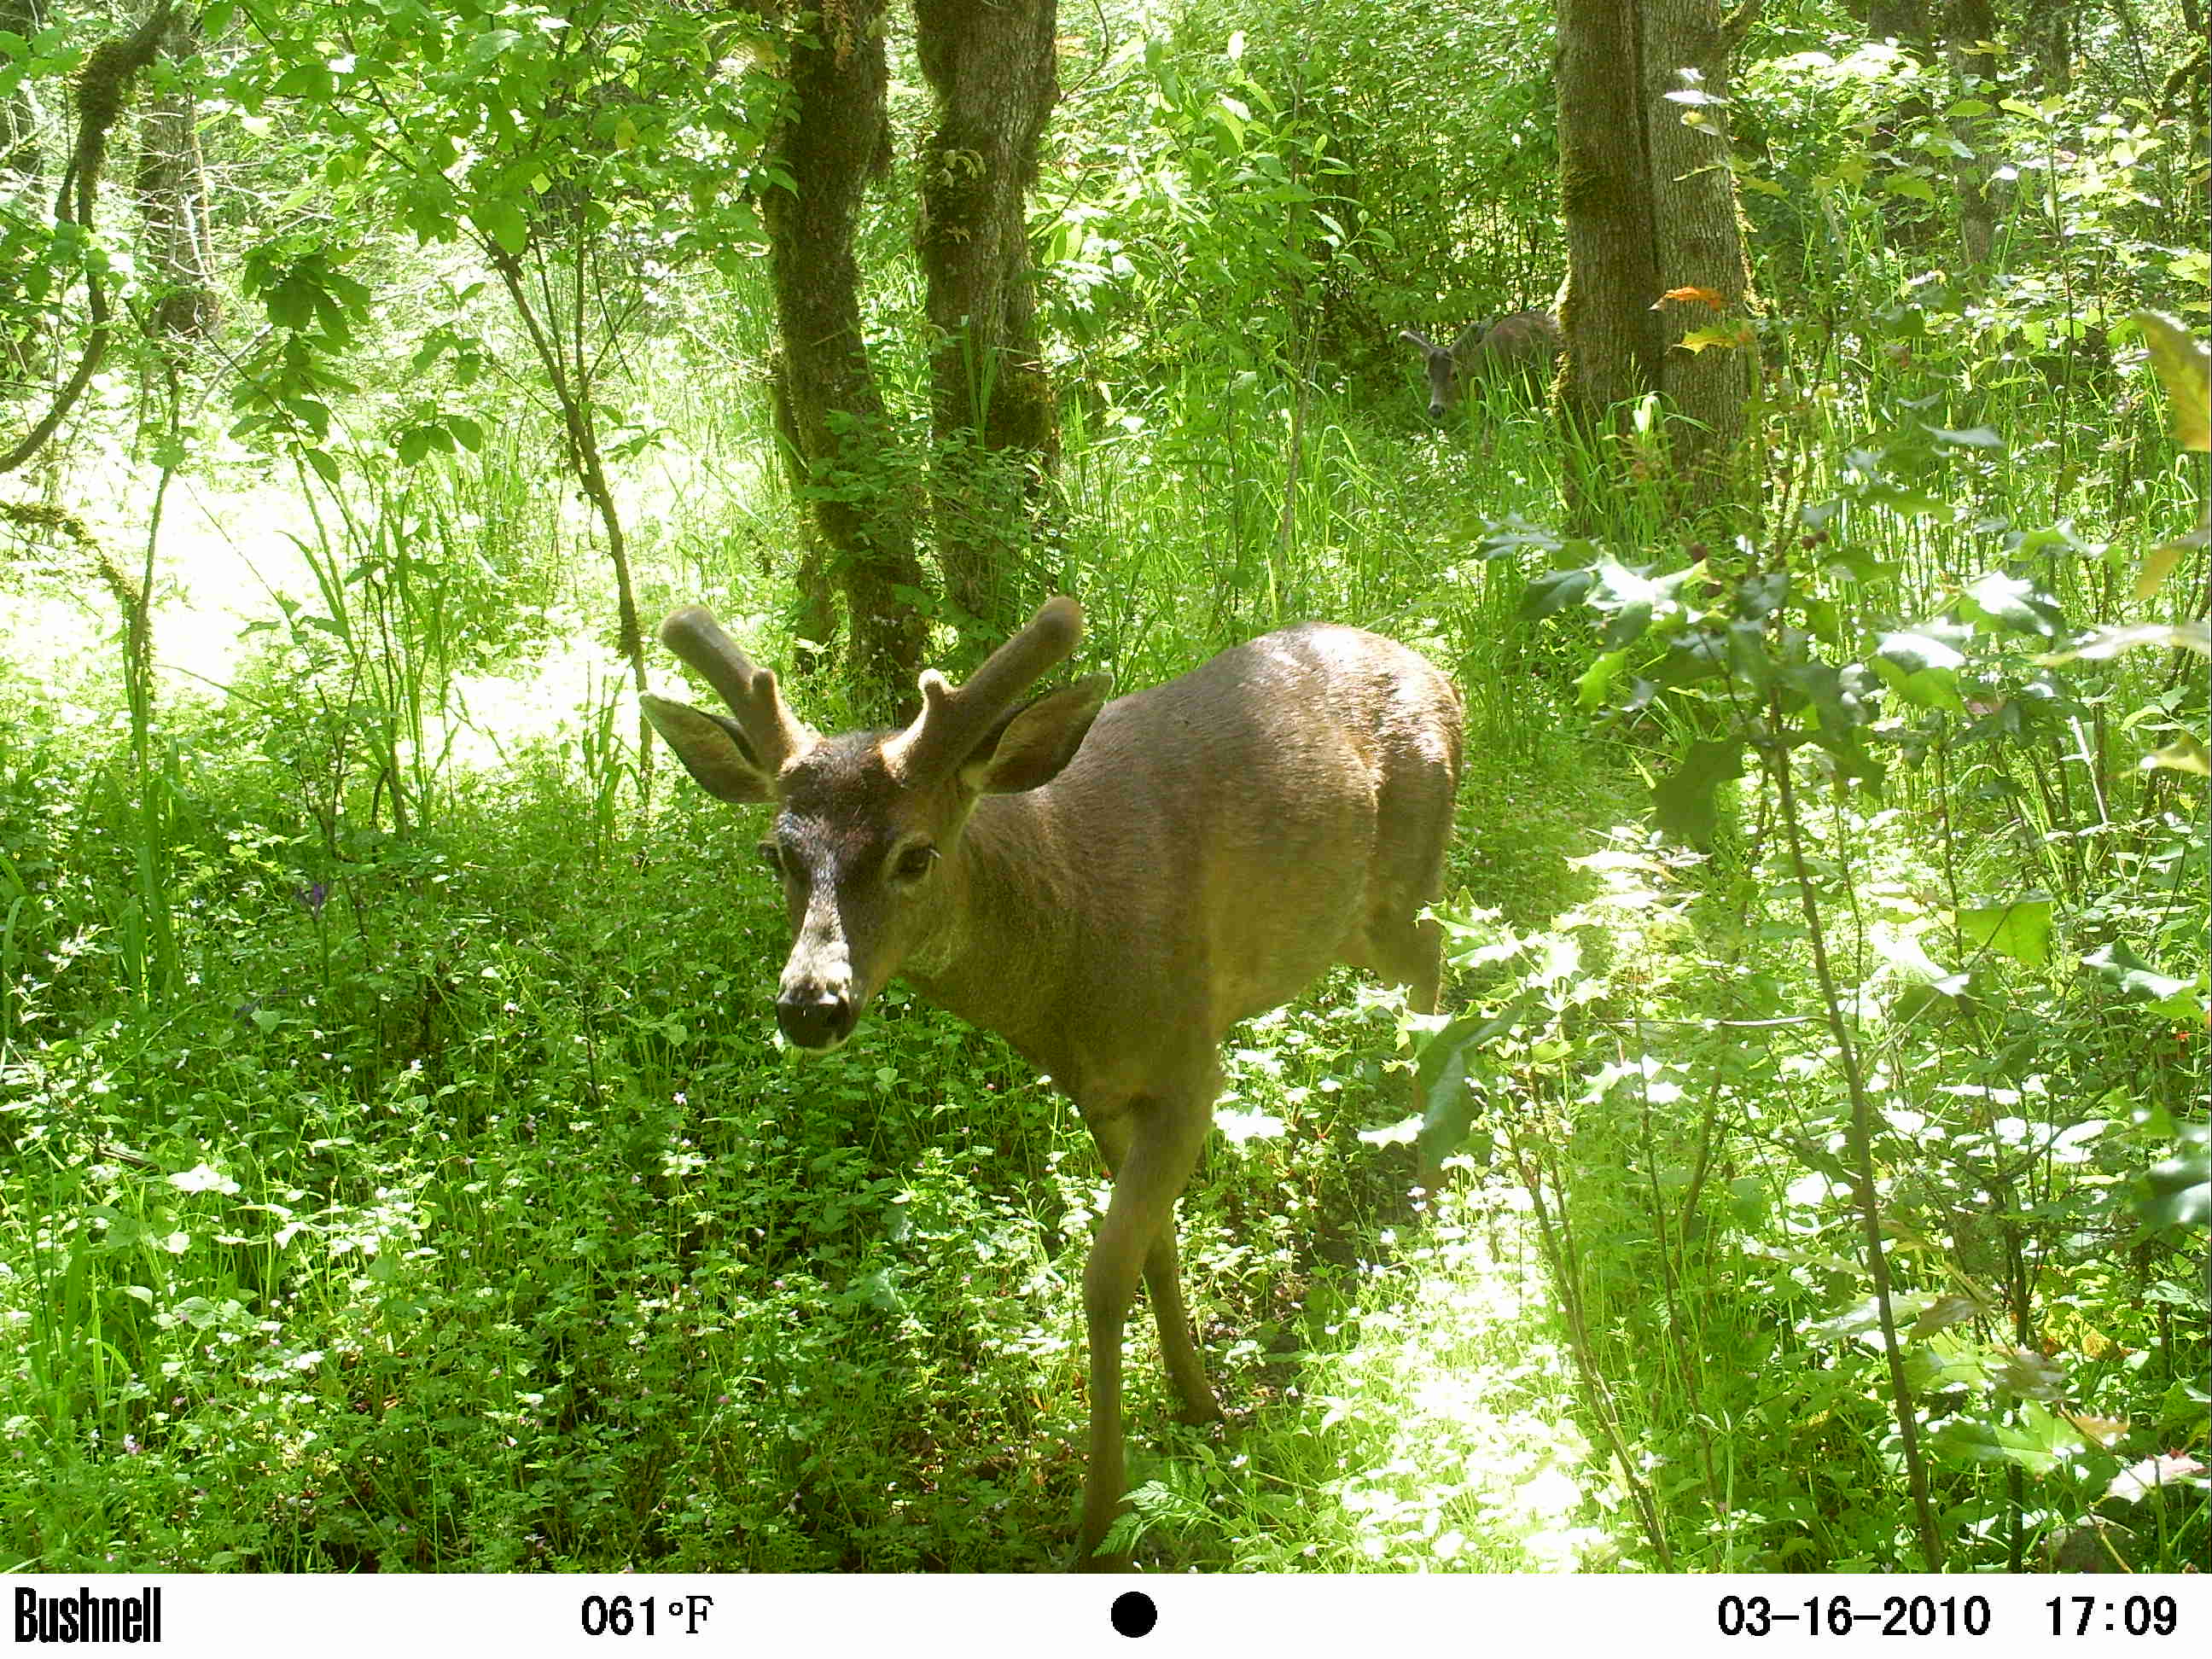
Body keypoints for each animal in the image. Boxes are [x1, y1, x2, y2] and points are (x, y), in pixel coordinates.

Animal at [640, 596, 1463, 1569]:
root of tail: (1443, 676)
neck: (1062, 955)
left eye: (915, 855)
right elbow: (1156, 1251)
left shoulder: (1191, 1063)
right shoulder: (1100, 1088)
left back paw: (1426, 1184)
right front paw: (1198, 1399)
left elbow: (1103, 1280)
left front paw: (1100, 1517)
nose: (811, 1005)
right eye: (775, 855)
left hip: (1401, 882)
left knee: (1435, 962)